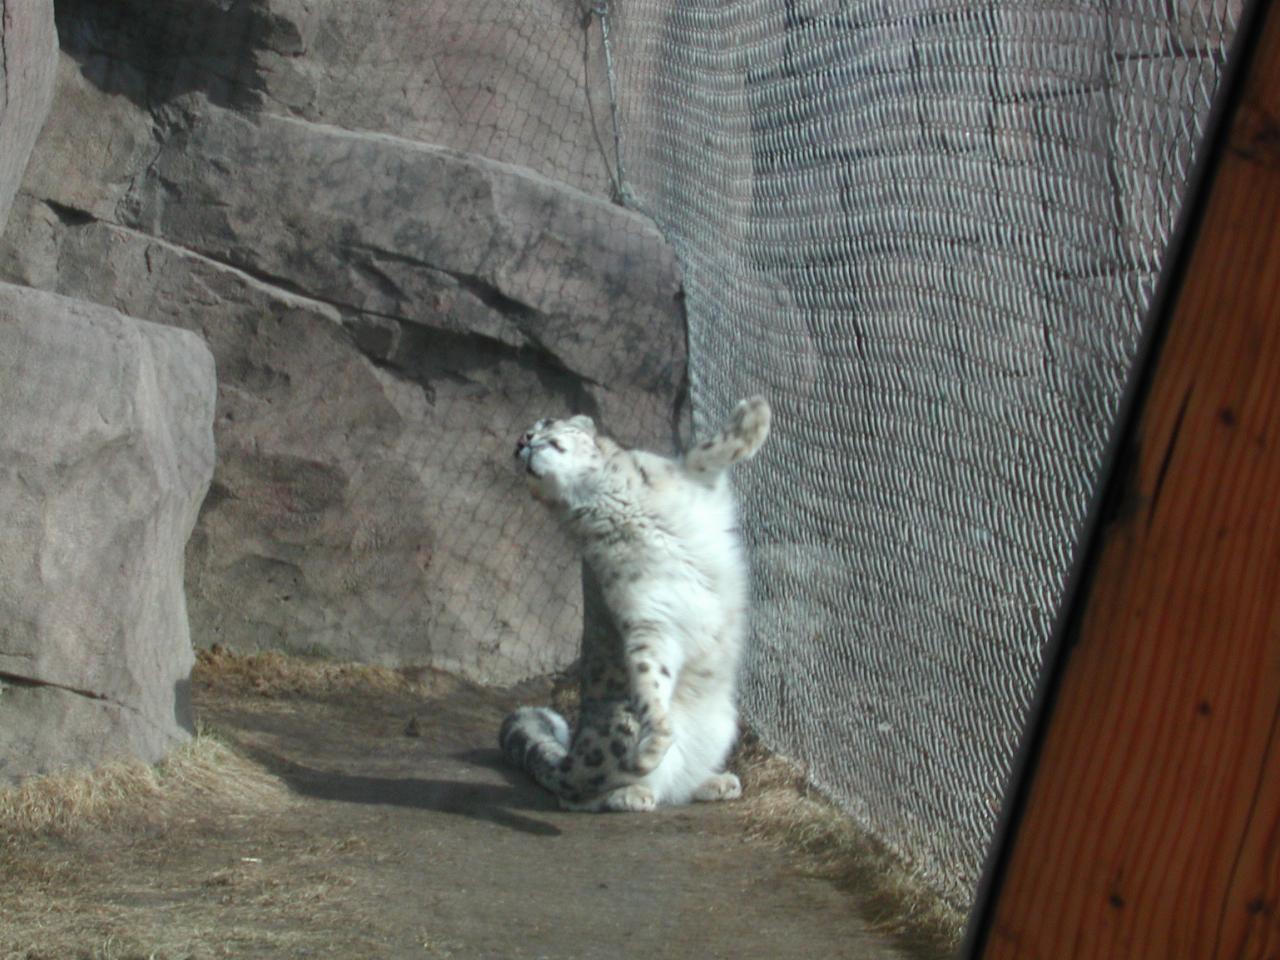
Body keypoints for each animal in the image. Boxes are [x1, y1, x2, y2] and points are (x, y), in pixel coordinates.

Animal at [494, 396, 762, 814]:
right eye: (518, 449)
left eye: (543, 423)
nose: (522, 442)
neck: (612, 497)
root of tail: (572, 755)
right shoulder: (650, 615)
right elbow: (651, 679)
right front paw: (653, 746)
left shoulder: (692, 480)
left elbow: (705, 452)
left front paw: (754, 417)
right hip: (618, 723)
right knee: (574, 794)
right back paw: (632, 791)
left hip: (722, 724)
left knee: (677, 785)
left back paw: (715, 782)